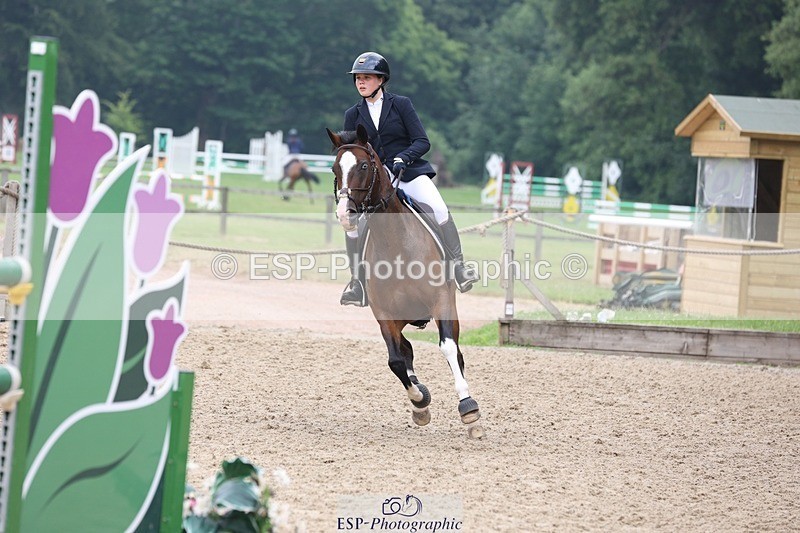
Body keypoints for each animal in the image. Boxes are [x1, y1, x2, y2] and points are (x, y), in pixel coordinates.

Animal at [327, 124, 483, 439]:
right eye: (336, 168)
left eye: (364, 166)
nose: (345, 215)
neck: (395, 243)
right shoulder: (384, 313)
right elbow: (396, 360)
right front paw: (420, 401)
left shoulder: (441, 301)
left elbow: (448, 347)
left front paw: (468, 409)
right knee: (406, 350)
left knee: (455, 351)